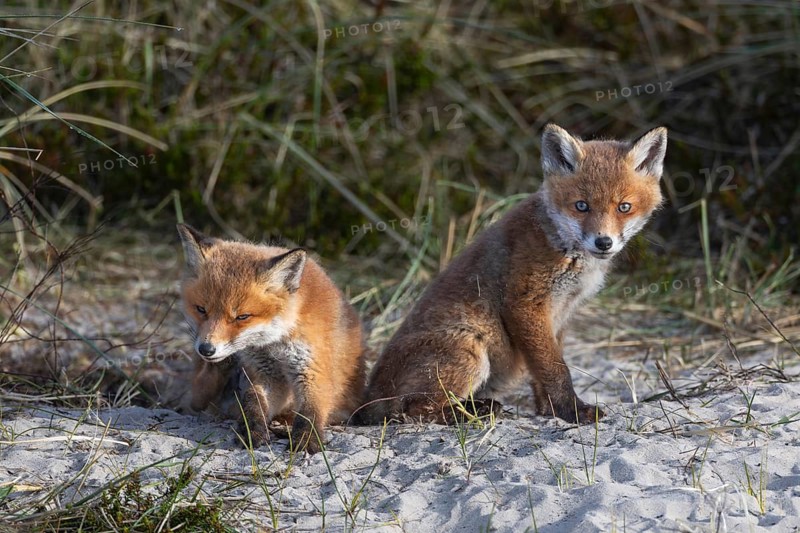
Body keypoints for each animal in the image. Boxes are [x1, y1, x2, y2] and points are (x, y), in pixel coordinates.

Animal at [177, 224, 365, 453]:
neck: (275, 342)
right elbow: (252, 401)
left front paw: (307, 439)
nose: (206, 349)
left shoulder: (313, 369)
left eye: (242, 317)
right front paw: (252, 429)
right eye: (201, 309)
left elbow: (311, 411)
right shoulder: (266, 374)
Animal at [358, 124, 667, 425]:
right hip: (470, 348)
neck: (562, 246)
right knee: (411, 410)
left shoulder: (559, 316)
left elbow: (543, 370)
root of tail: (367, 401)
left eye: (624, 207)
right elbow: (556, 370)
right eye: (581, 206)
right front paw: (572, 411)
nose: (603, 242)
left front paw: (550, 411)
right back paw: (468, 414)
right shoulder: (525, 305)